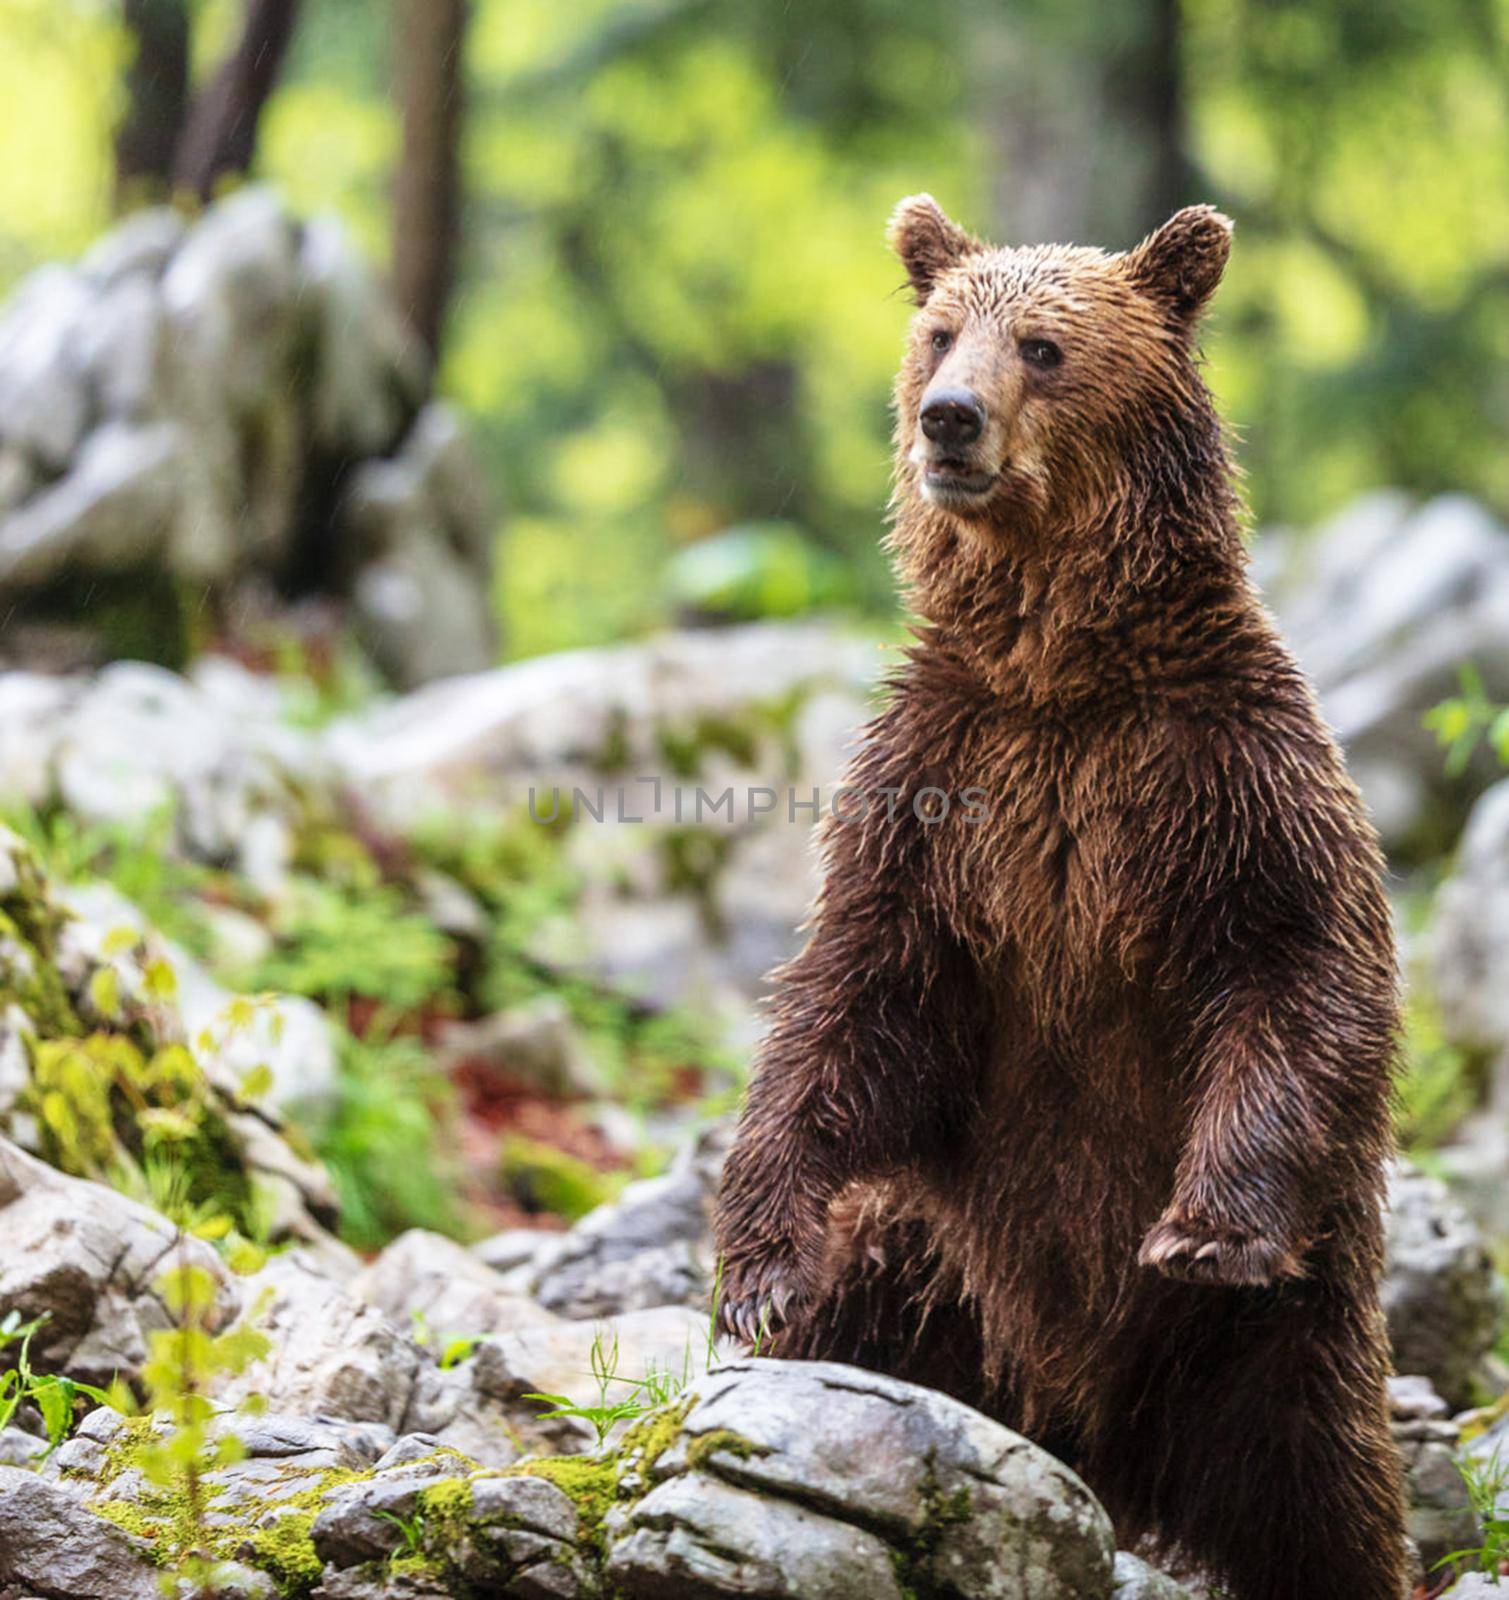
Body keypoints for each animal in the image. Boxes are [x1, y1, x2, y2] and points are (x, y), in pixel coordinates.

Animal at [713, 200, 1408, 1600]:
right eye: (939, 333)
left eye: (1043, 346)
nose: (949, 419)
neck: (1060, 669)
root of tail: (1103, 1455)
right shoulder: (940, 796)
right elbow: (853, 1005)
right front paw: (756, 1270)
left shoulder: (1221, 778)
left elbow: (1301, 969)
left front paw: (1202, 1230)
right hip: (929, 1280)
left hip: (1282, 1345)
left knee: (1324, 1497)